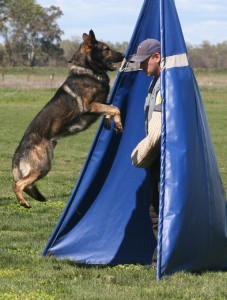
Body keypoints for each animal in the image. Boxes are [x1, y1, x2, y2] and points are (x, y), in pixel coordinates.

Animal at [12, 30, 124, 209]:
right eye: (107, 49)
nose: (123, 55)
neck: (87, 70)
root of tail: (19, 148)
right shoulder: (89, 106)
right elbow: (115, 108)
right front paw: (118, 124)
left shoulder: (99, 103)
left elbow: (112, 106)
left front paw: (109, 121)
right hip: (43, 166)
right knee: (17, 184)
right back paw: (24, 202)